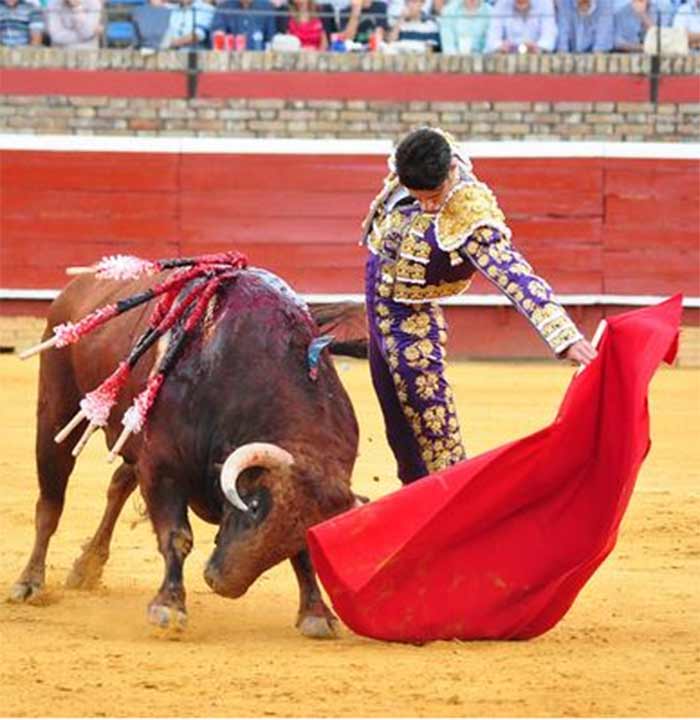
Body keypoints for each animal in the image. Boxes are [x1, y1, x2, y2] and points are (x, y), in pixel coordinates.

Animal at [8, 264, 360, 636]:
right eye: (251, 506)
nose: (221, 582)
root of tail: (79, 285)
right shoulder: (163, 467)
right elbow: (177, 535)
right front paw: (169, 606)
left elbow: (304, 555)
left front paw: (316, 613)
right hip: (55, 412)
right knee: (50, 502)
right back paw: (29, 582)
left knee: (117, 486)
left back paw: (87, 566)